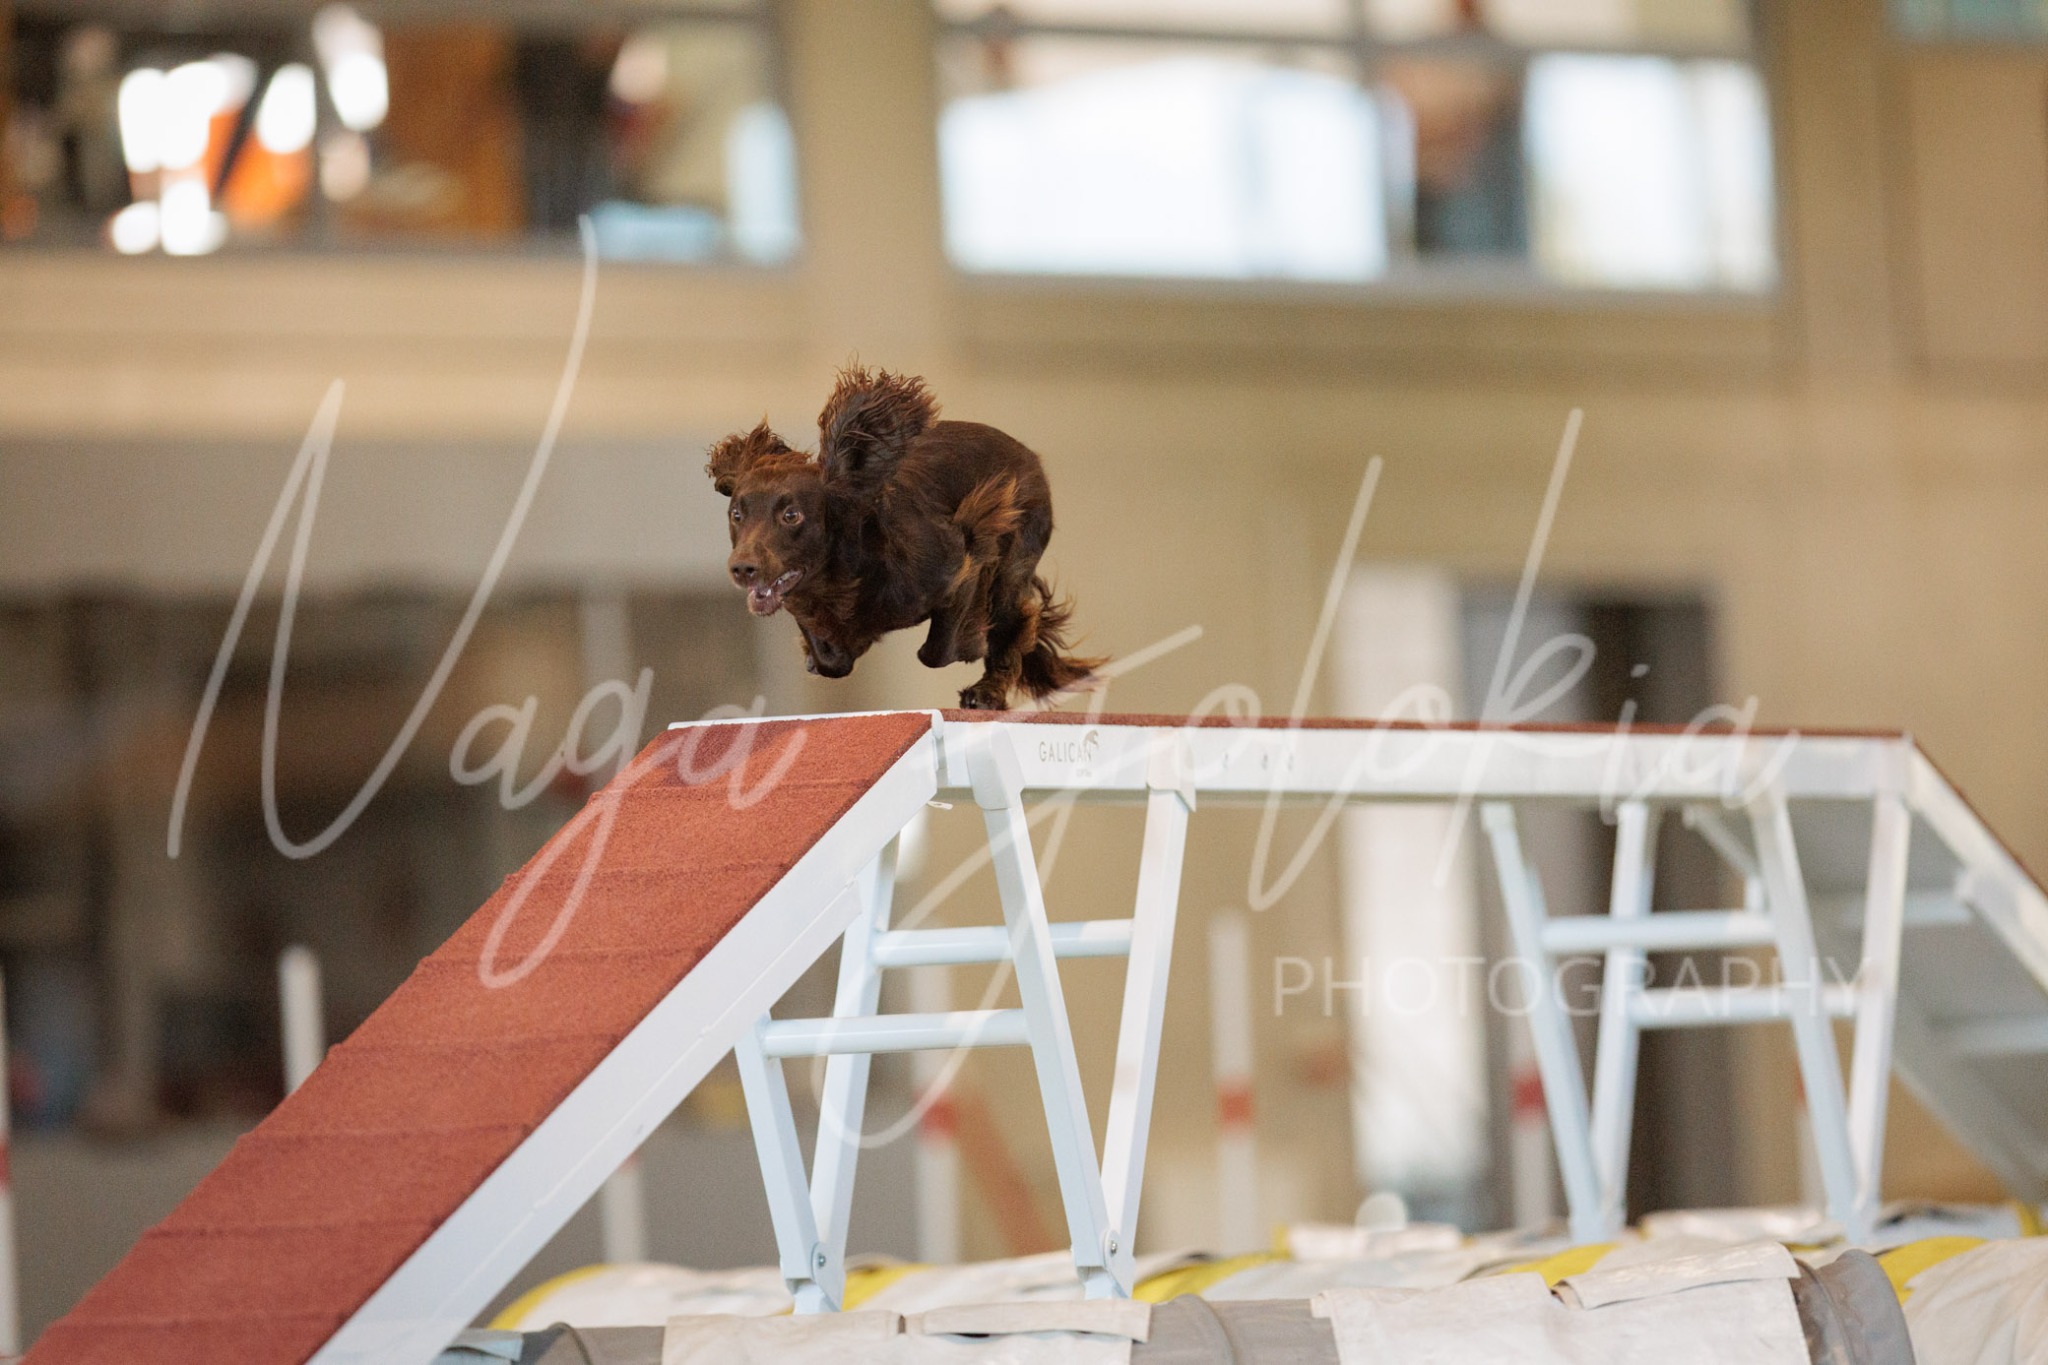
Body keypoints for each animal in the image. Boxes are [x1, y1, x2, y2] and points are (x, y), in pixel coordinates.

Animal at [707, 366, 1103, 710]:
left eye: (791, 516)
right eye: (736, 515)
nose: (742, 568)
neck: (841, 578)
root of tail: (1031, 459)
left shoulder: (956, 564)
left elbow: (937, 650)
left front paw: (972, 638)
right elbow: (833, 659)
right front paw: (819, 654)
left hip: (1015, 561)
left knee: (1012, 624)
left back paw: (986, 691)